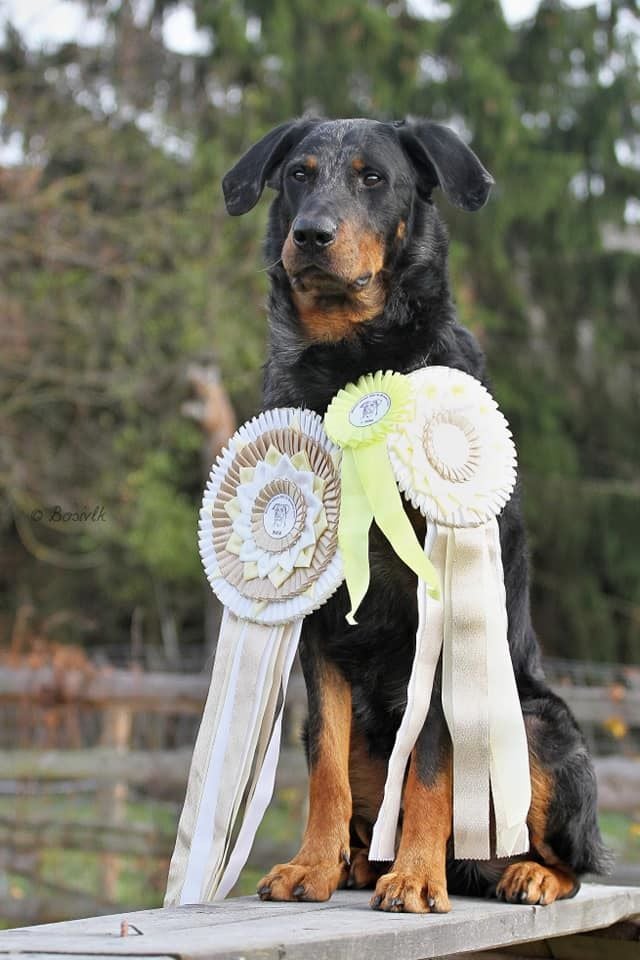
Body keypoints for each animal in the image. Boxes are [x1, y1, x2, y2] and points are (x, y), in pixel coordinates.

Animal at [221, 120, 608, 916]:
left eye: (373, 178)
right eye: (299, 174)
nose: (311, 235)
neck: (349, 364)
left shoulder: (442, 610)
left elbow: (432, 764)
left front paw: (417, 878)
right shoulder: (321, 621)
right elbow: (324, 763)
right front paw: (312, 865)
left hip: (534, 724)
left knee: (573, 857)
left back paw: (515, 874)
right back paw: (355, 864)